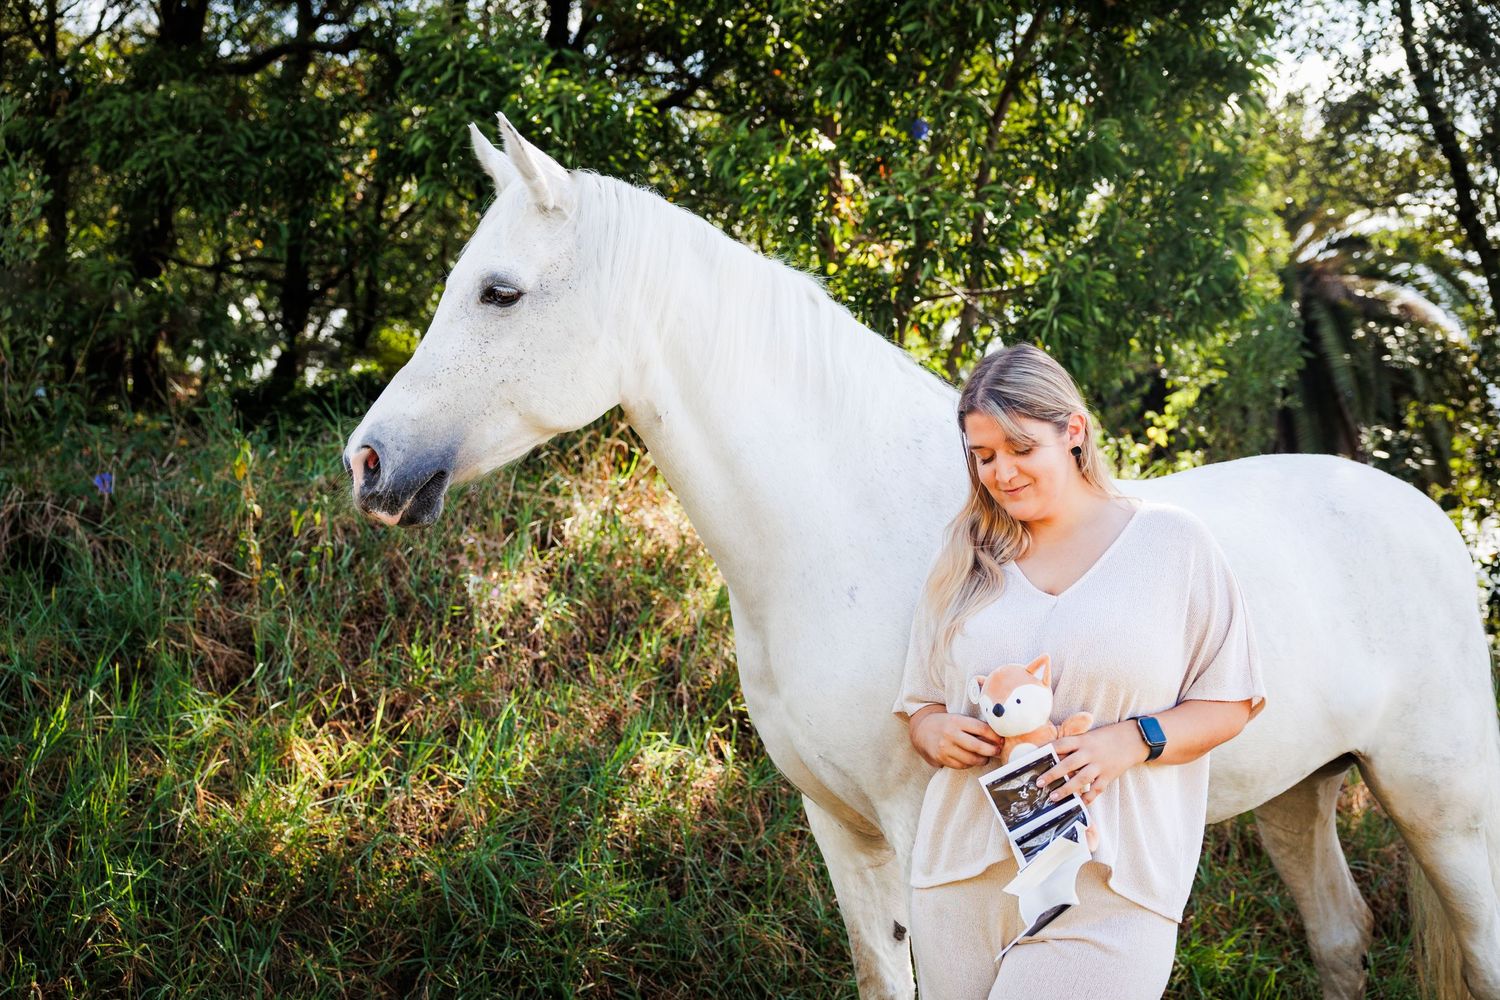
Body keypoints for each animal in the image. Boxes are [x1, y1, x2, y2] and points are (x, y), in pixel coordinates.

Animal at [342, 115, 1500, 999]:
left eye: (499, 292)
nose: (368, 461)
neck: (838, 528)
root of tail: (1428, 517)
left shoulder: (927, 838)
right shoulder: (841, 829)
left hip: (1447, 812)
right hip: (1300, 794)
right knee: (1341, 935)